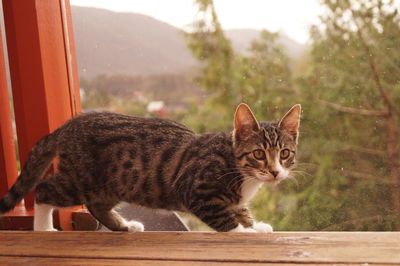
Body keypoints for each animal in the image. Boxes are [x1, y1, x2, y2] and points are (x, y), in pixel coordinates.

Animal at [0, 103, 300, 232]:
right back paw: (43, 229)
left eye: (284, 154)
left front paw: (254, 226)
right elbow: (225, 221)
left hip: (114, 183)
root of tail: (66, 127)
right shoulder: (197, 191)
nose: (275, 172)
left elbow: (239, 208)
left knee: (96, 205)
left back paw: (123, 226)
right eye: (259, 154)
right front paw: (243, 232)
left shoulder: (233, 198)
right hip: (80, 178)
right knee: (44, 189)